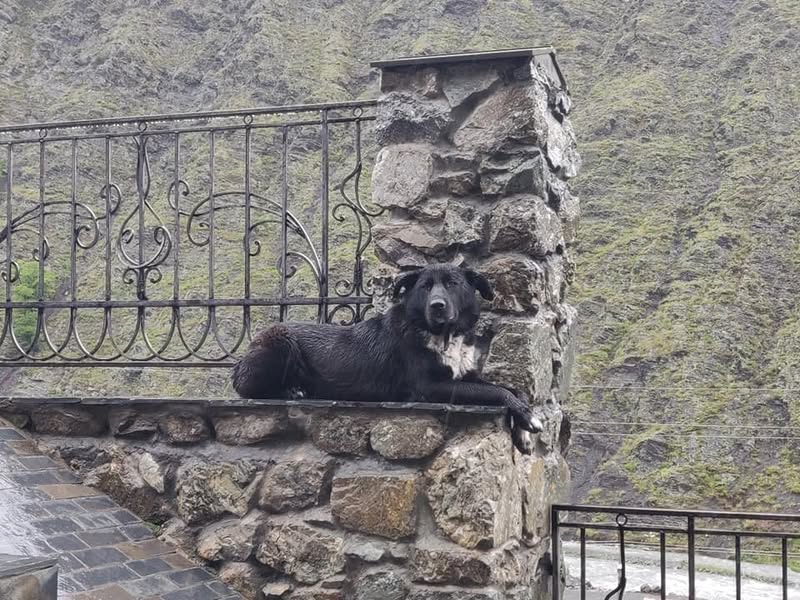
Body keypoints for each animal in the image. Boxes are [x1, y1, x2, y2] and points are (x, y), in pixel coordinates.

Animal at [231, 263, 542, 454]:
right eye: (425, 287)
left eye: (452, 284)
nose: (437, 306)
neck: (441, 334)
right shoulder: (429, 388)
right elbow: (498, 392)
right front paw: (529, 420)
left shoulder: (466, 376)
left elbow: (513, 389)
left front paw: (524, 432)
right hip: (280, 343)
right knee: (248, 390)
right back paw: (293, 391)